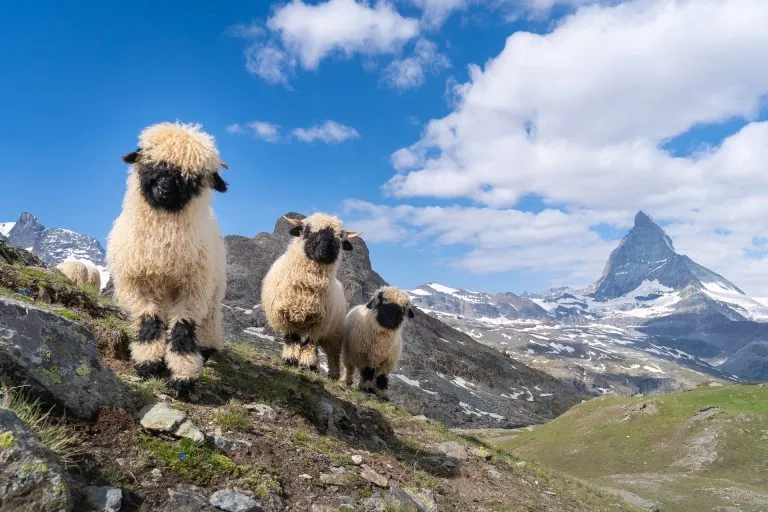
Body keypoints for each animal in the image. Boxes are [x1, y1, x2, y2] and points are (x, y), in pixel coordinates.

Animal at [107, 122, 228, 398]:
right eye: (153, 163)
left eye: (192, 178)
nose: (164, 190)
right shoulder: (137, 284)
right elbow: (149, 321)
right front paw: (149, 362)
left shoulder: (192, 289)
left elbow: (183, 329)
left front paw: (183, 376)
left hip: (212, 291)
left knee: (208, 322)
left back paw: (206, 349)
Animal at [260, 213, 360, 380]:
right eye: (308, 231)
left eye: (340, 238)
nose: (325, 253)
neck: (307, 287)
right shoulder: (286, 315)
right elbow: (291, 339)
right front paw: (290, 359)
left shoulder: (318, 322)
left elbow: (309, 343)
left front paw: (306, 363)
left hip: (333, 333)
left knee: (331, 354)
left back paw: (331, 374)